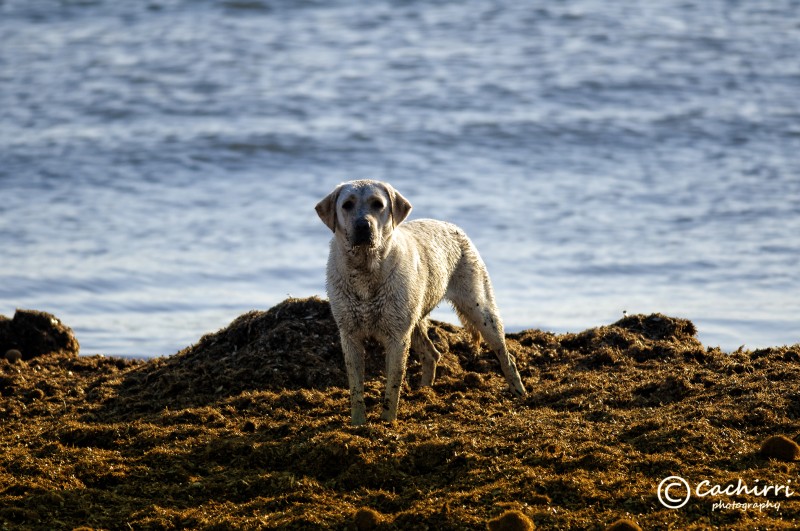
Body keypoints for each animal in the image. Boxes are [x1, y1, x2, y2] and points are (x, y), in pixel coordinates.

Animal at [316, 181, 528, 426]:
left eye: (378, 204)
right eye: (347, 205)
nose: (363, 226)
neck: (366, 268)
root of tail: (452, 226)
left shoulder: (397, 337)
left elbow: (393, 387)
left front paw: (387, 421)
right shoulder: (349, 335)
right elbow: (356, 387)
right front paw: (358, 423)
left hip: (480, 309)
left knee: (505, 354)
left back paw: (519, 391)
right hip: (415, 318)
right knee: (431, 354)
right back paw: (424, 392)